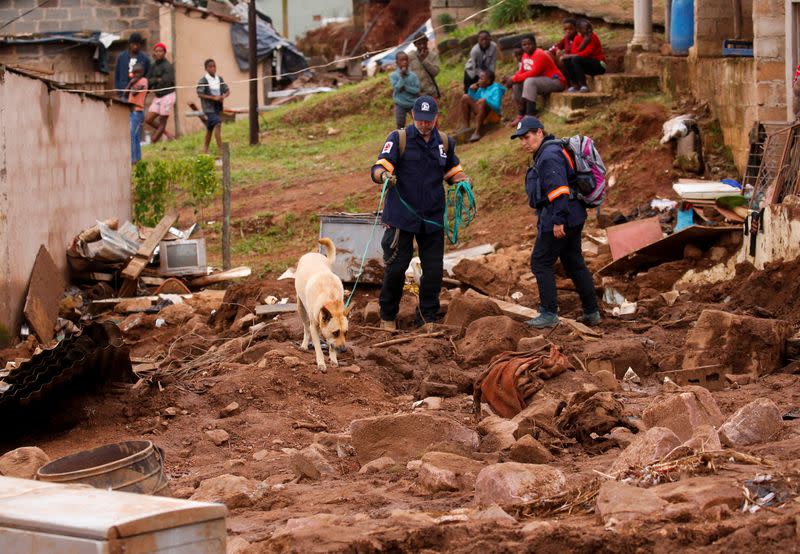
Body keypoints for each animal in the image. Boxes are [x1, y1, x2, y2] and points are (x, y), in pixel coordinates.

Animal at [294, 235, 350, 368]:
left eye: (345, 333)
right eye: (336, 333)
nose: (344, 350)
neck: (331, 299)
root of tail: (312, 254)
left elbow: (331, 345)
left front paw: (333, 359)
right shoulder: (314, 327)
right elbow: (318, 347)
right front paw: (321, 363)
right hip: (301, 307)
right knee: (306, 328)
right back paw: (304, 345)